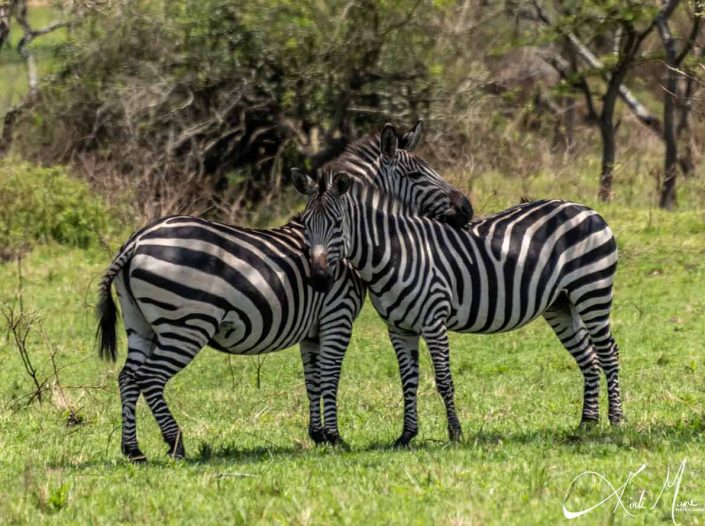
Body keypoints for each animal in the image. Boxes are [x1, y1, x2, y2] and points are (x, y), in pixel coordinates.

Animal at [93, 122, 468, 462]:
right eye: (417, 174)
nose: (466, 209)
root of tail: (136, 241)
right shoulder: (338, 315)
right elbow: (330, 374)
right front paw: (335, 437)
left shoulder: (311, 328)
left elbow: (312, 378)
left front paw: (318, 434)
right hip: (186, 325)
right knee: (150, 378)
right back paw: (175, 444)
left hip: (141, 324)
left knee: (128, 378)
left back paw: (133, 450)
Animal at [294, 160, 624, 446]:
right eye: (306, 225)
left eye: (338, 224)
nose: (319, 279)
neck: (395, 251)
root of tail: (586, 209)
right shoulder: (399, 329)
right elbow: (408, 382)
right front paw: (406, 436)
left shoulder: (433, 321)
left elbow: (443, 380)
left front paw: (455, 433)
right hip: (560, 304)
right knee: (588, 357)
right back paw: (587, 423)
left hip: (592, 290)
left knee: (608, 353)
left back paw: (617, 421)